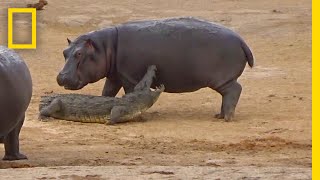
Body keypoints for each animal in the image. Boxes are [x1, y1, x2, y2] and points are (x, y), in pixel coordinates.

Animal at [56, 17, 254, 121]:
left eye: (79, 53)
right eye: (64, 52)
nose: (61, 77)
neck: (105, 47)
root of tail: (242, 40)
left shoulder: (129, 78)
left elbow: (130, 94)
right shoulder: (115, 76)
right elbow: (107, 93)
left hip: (222, 80)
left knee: (234, 90)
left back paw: (227, 118)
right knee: (228, 94)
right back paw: (219, 115)